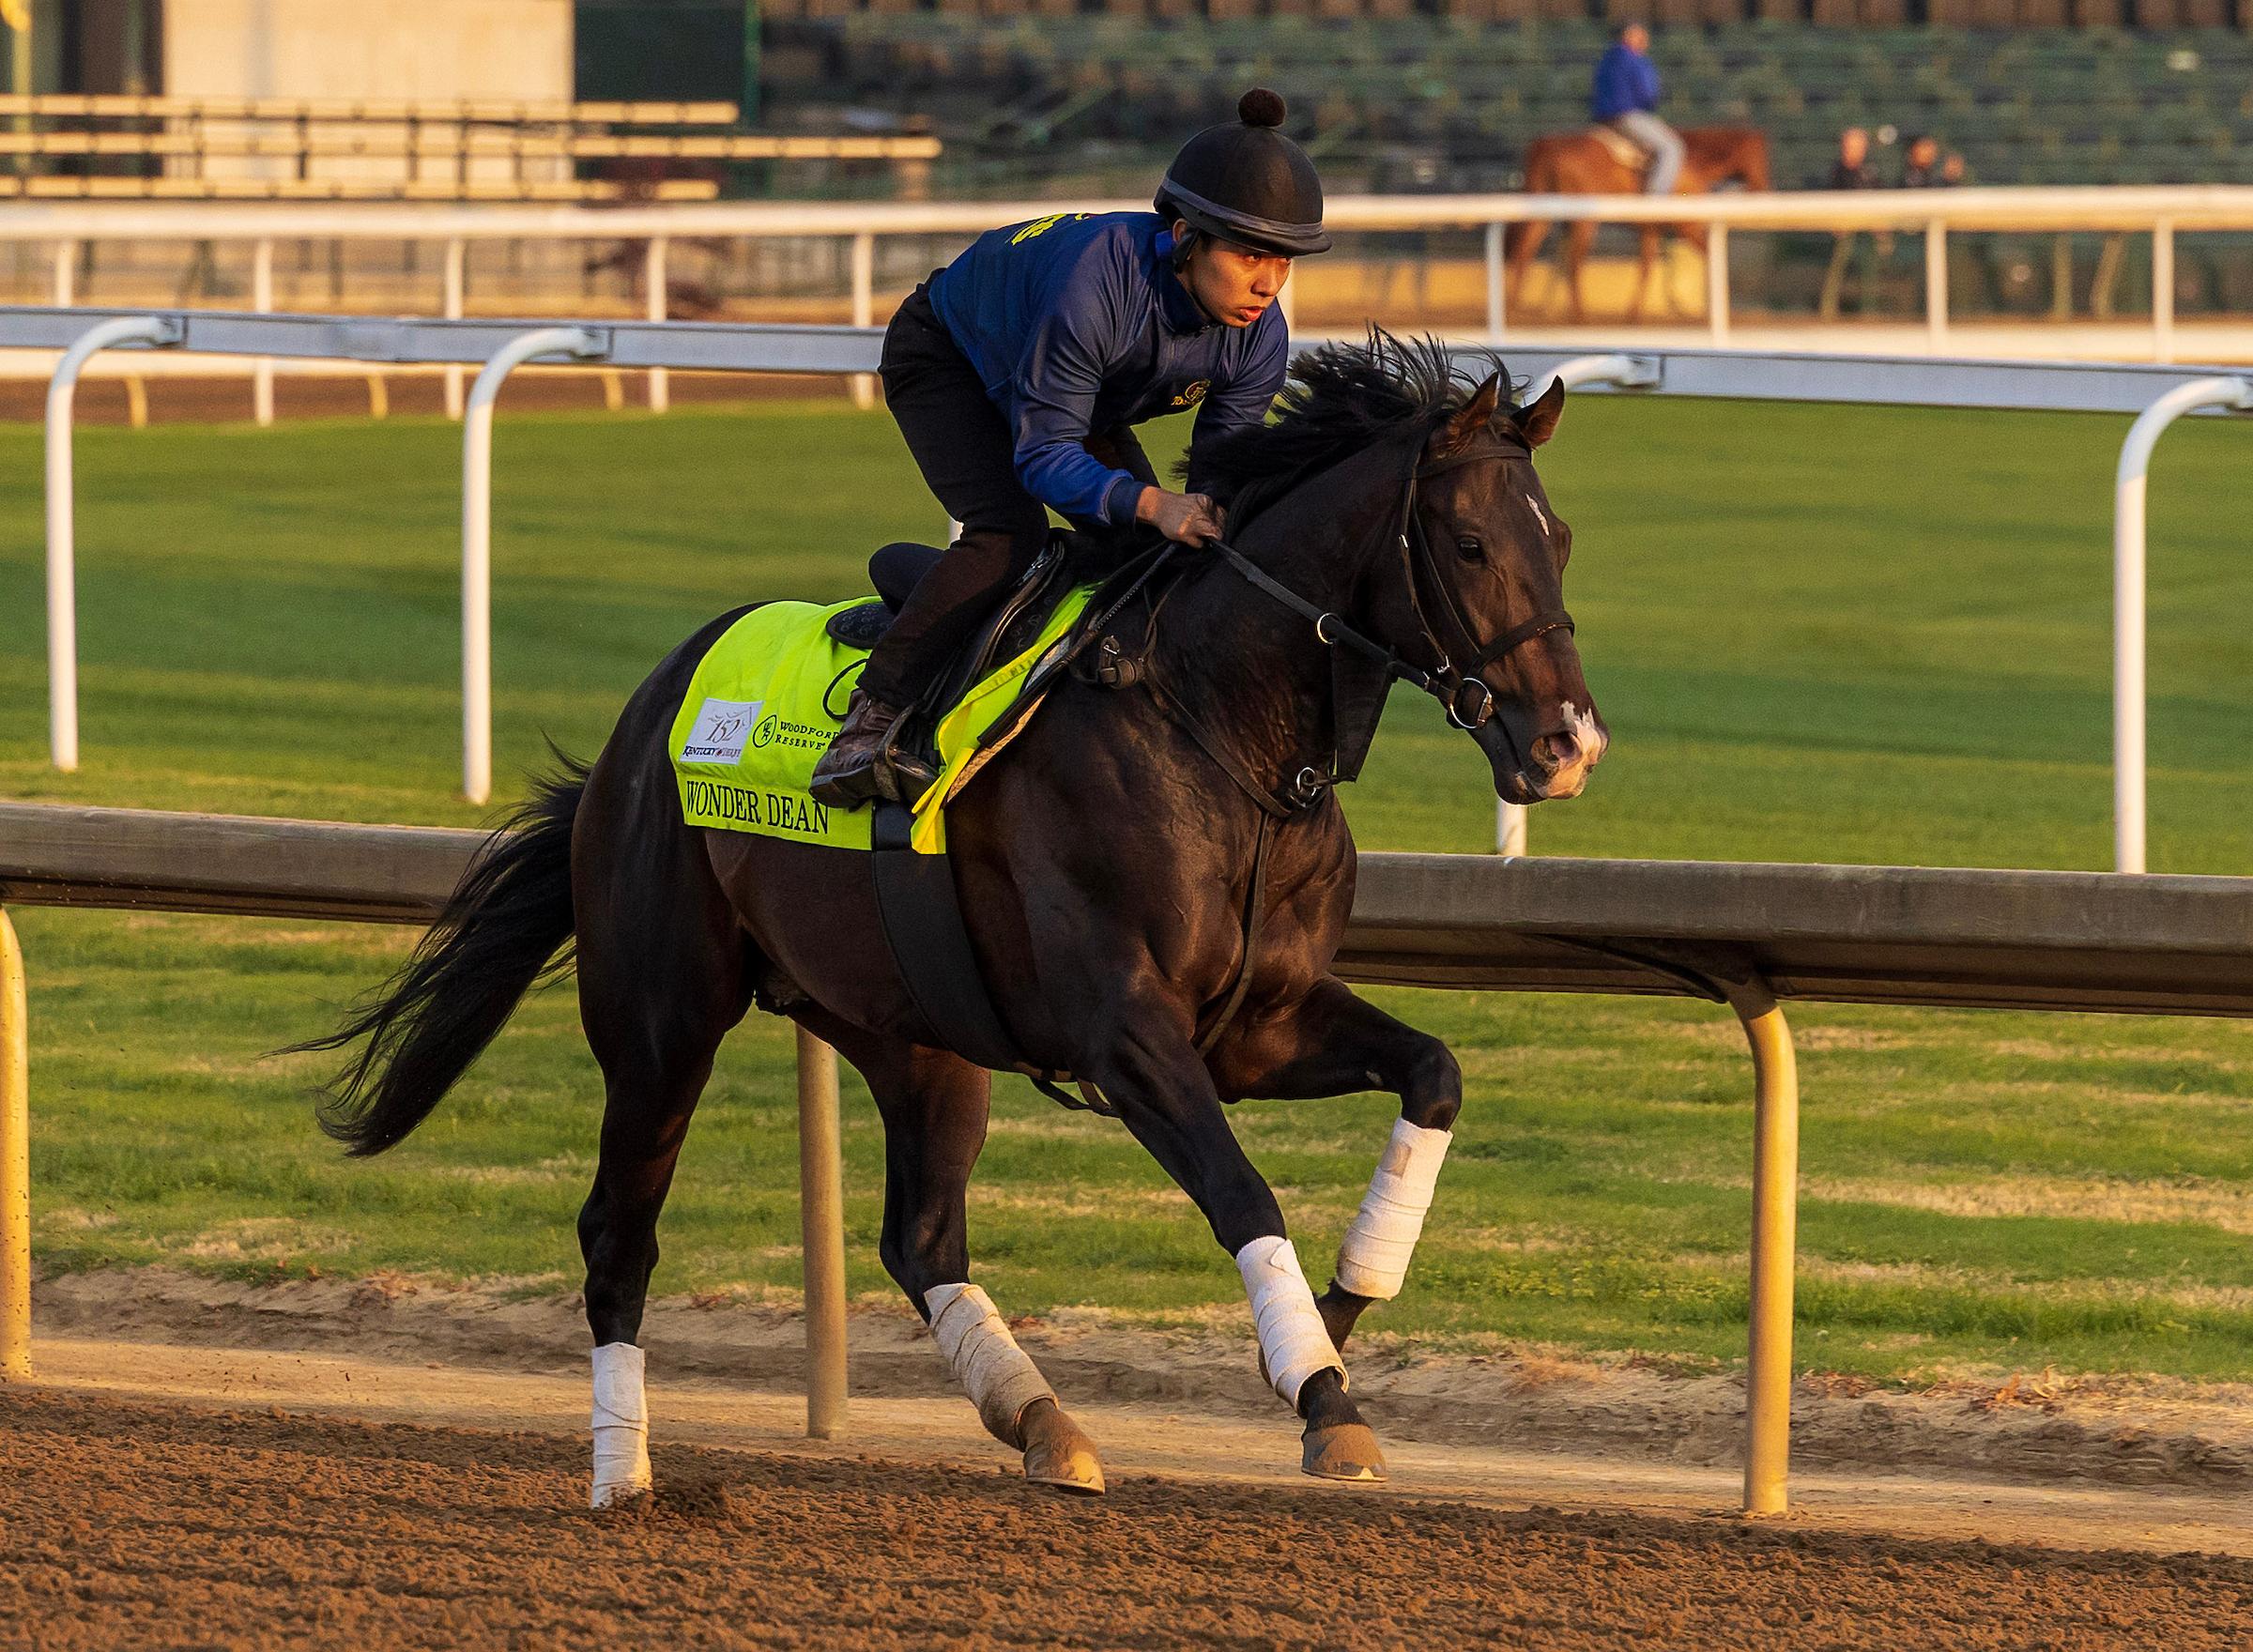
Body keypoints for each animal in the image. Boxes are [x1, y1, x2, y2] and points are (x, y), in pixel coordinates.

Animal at [294, 334, 1606, 1508]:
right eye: (1473, 543)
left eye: (1560, 541)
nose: (1568, 744)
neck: (1216, 732)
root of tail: (642, 716)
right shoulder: (1125, 1035)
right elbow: (1243, 1192)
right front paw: (1322, 1391)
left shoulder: (1258, 1022)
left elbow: (1433, 1074)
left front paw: (1335, 1308)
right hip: (660, 1019)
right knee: (621, 1229)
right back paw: (627, 1476)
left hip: (913, 1031)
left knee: (919, 1236)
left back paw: (1040, 1418)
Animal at [1507, 126, 1771, 324]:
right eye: (1759, 157)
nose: (1763, 187)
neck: (1691, 162)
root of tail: (1549, 144)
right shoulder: (1688, 226)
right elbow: (1708, 255)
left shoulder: (1651, 229)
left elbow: (1648, 267)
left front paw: (1637, 313)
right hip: (1584, 220)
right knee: (1572, 262)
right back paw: (1579, 316)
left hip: (1547, 214)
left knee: (1527, 251)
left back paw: (1515, 307)